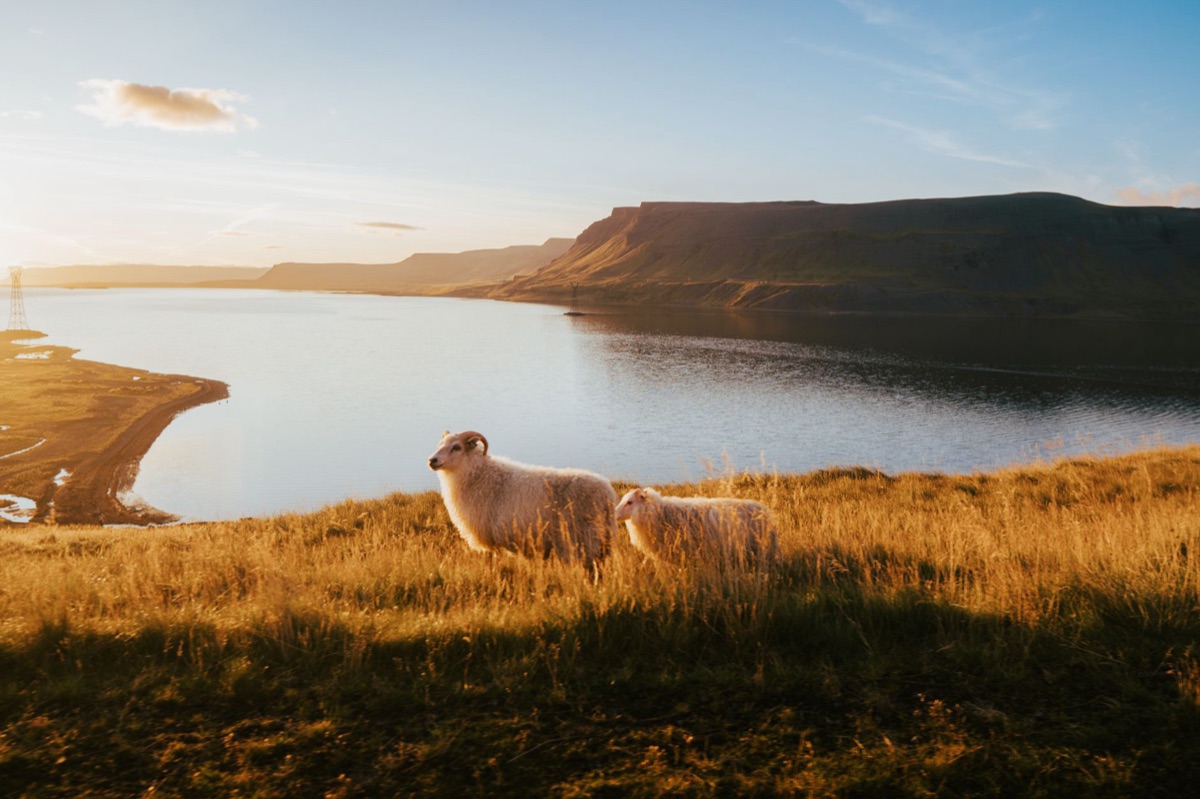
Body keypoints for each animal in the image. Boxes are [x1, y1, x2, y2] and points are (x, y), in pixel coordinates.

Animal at [427, 430, 617, 568]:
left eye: (456, 447)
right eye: (440, 445)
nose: (432, 460)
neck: (477, 475)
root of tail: (607, 493)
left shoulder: (490, 541)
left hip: (583, 540)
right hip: (600, 541)